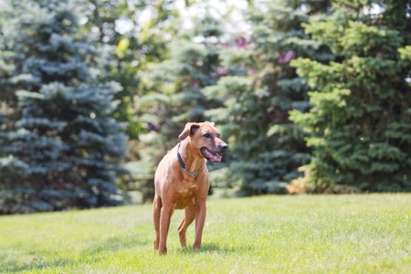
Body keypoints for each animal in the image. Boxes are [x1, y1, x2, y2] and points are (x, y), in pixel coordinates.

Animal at [152, 121, 227, 254]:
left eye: (219, 134)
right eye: (206, 135)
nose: (225, 146)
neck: (190, 168)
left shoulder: (201, 204)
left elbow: (199, 230)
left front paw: (196, 249)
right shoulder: (167, 205)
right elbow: (163, 232)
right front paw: (162, 253)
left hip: (191, 210)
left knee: (181, 228)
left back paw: (185, 248)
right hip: (158, 207)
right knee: (158, 233)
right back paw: (157, 249)